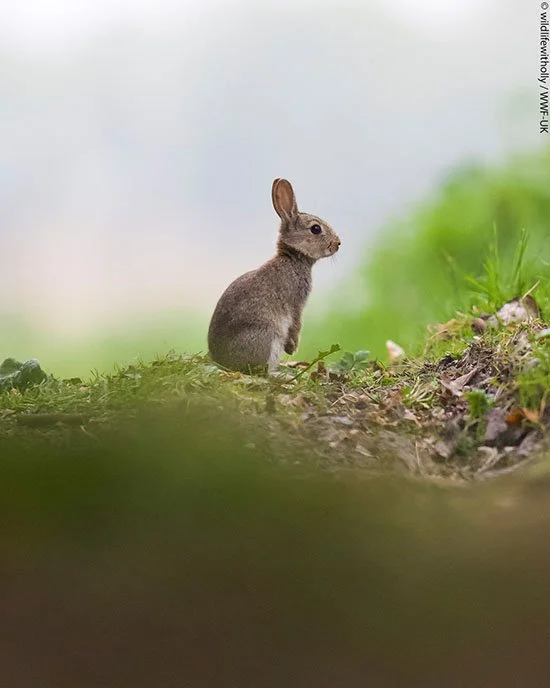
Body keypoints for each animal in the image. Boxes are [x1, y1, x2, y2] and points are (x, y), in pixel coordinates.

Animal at [208, 178, 341, 374]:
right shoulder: (296, 304)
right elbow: (296, 324)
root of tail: (225, 362)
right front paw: (293, 348)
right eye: (316, 229)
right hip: (267, 338)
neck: (293, 258)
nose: (338, 243)